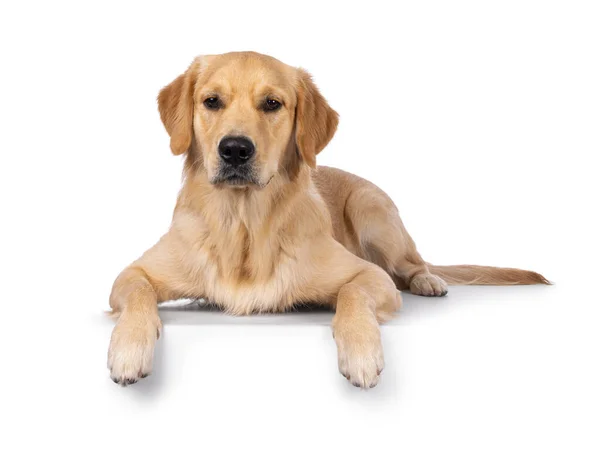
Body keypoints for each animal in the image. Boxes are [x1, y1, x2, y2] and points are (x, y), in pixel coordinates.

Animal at [106, 51, 548, 386]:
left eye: (272, 103)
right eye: (211, 101)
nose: (234, 149)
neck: (245, 225)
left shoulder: (370, 276)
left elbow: (352, 295)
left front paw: (361, 353)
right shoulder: (132, 274)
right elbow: (139, 294)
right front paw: (129, 349)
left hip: (372, 211)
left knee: (413, 264)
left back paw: (427, 281)